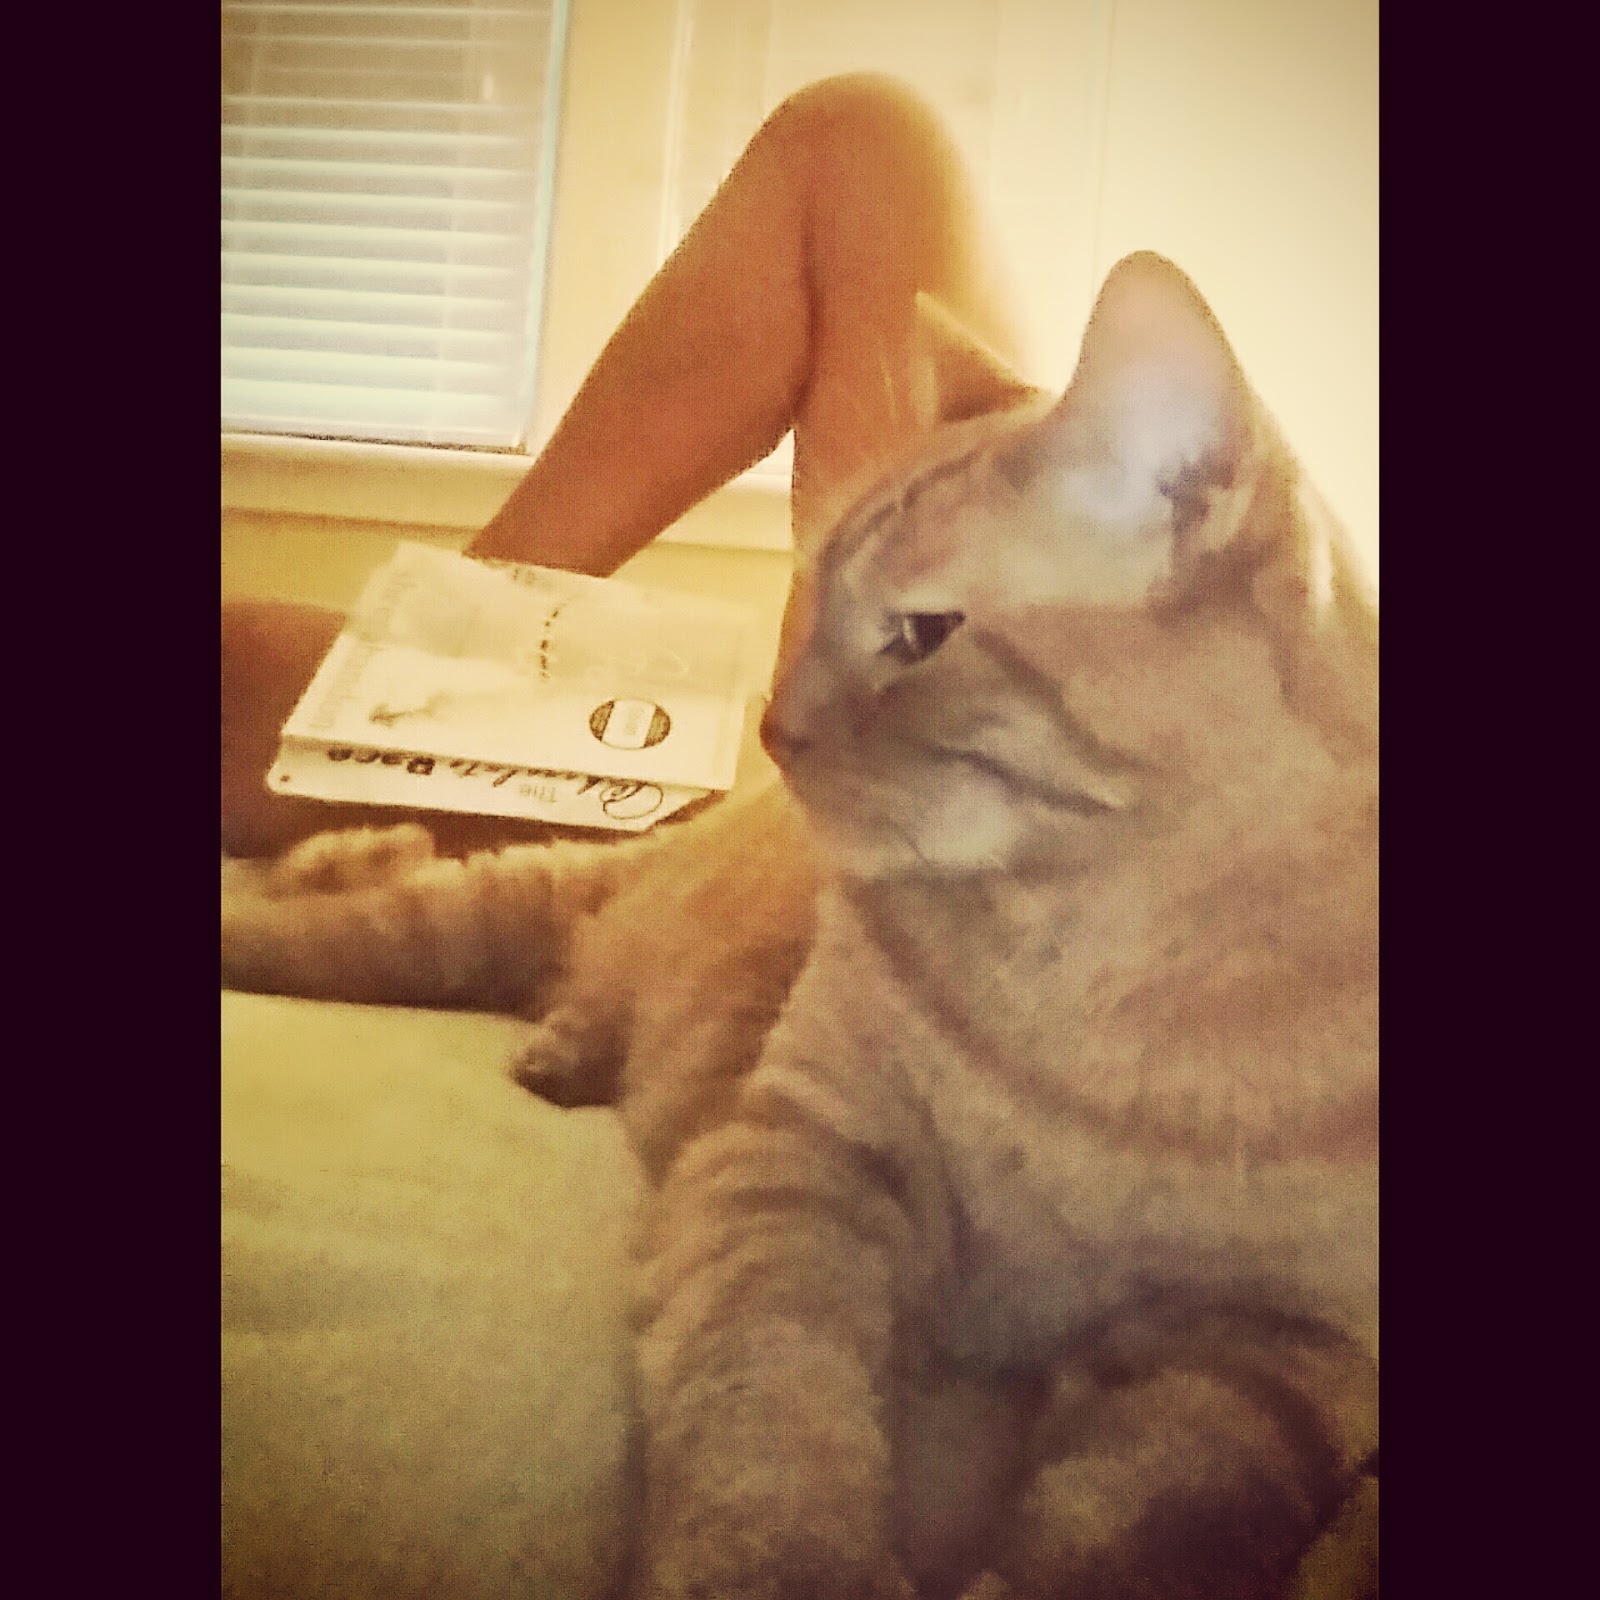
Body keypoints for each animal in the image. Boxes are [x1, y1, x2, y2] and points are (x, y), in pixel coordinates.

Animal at [222, 251, 1378, 1600]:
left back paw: (560, 1049)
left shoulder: (1277, 1356)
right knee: (317, 915)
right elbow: (771, 1416)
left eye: (920, 635)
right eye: (809, 599)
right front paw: (777, 1554)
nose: (773, 733)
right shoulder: (798, 1161)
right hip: (443, 929)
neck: (1101, 1000)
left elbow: (1138, 1517)